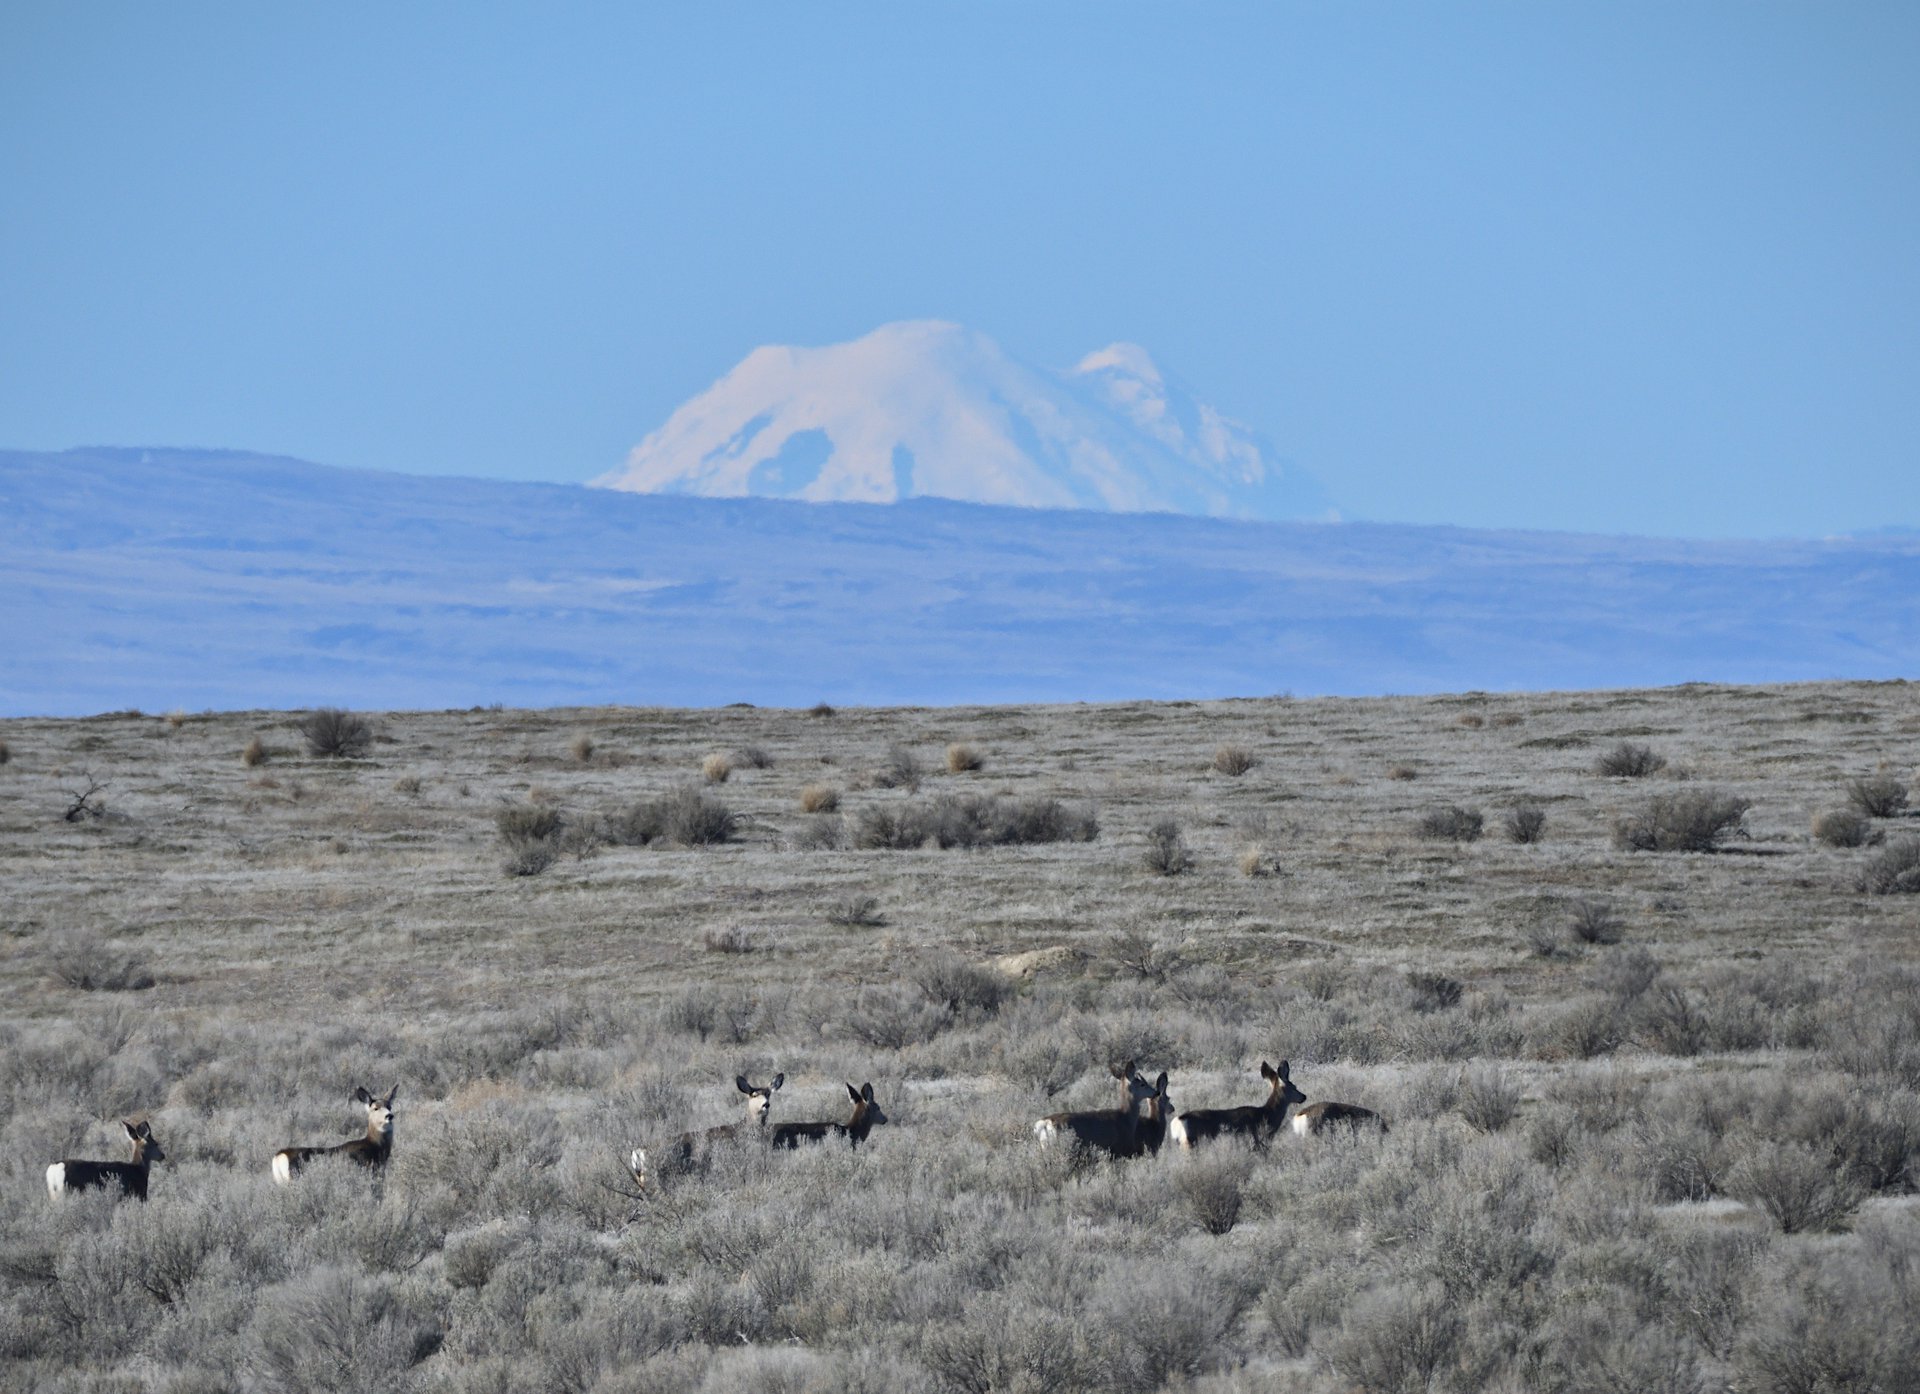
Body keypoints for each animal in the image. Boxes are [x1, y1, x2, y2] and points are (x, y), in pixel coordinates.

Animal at [629, 1073, 784, 1188]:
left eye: (768, 1093)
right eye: (754, 1095)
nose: (766, 1105)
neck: (745, 1130)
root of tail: (638, 1151)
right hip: (653, 1175)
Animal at [1033, 1061, 1164, 1159]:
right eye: (1142, 1084)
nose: (1156, 1092)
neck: (1126, 1118)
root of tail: (1044, 1123)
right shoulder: (1117, 1150)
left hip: (1044, 1147)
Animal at [1167, 1060, 1307, 1151]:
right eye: (1294, 1086)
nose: (1303, 1096)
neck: (1267, 1114)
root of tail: (1178, 1120)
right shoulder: (1257, 1141)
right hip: (1191, 1143)